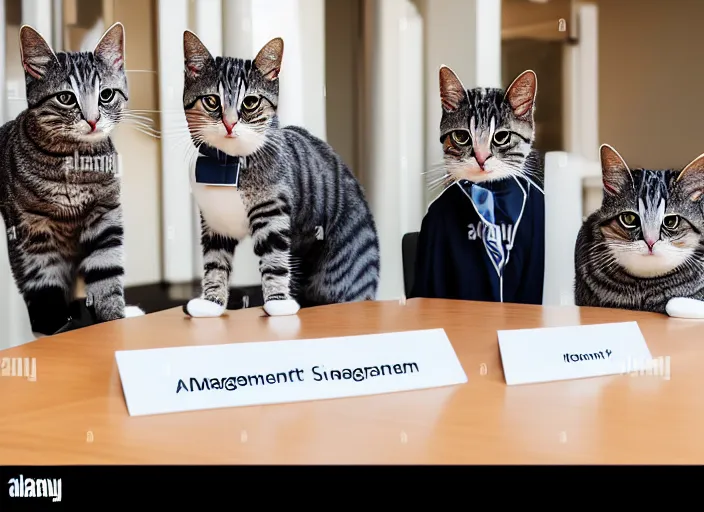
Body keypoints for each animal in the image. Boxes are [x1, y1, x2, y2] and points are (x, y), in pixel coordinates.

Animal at [0, 23, 143, 336]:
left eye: (106, 95)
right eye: (66, 98)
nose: (92, 119)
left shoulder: (104, 213)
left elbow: (106, 270)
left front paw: (113, 320)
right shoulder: (29, 230)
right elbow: (43, 285)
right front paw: (55, 330)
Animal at [182, 31, 380, 316]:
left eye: (250, 102)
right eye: (211, 101)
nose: (230, 124)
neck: (229, 165)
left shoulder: (272, 213)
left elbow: (274, 261)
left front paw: (277, 302)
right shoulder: (214, 222)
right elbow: (215, 262)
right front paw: (211, 303)